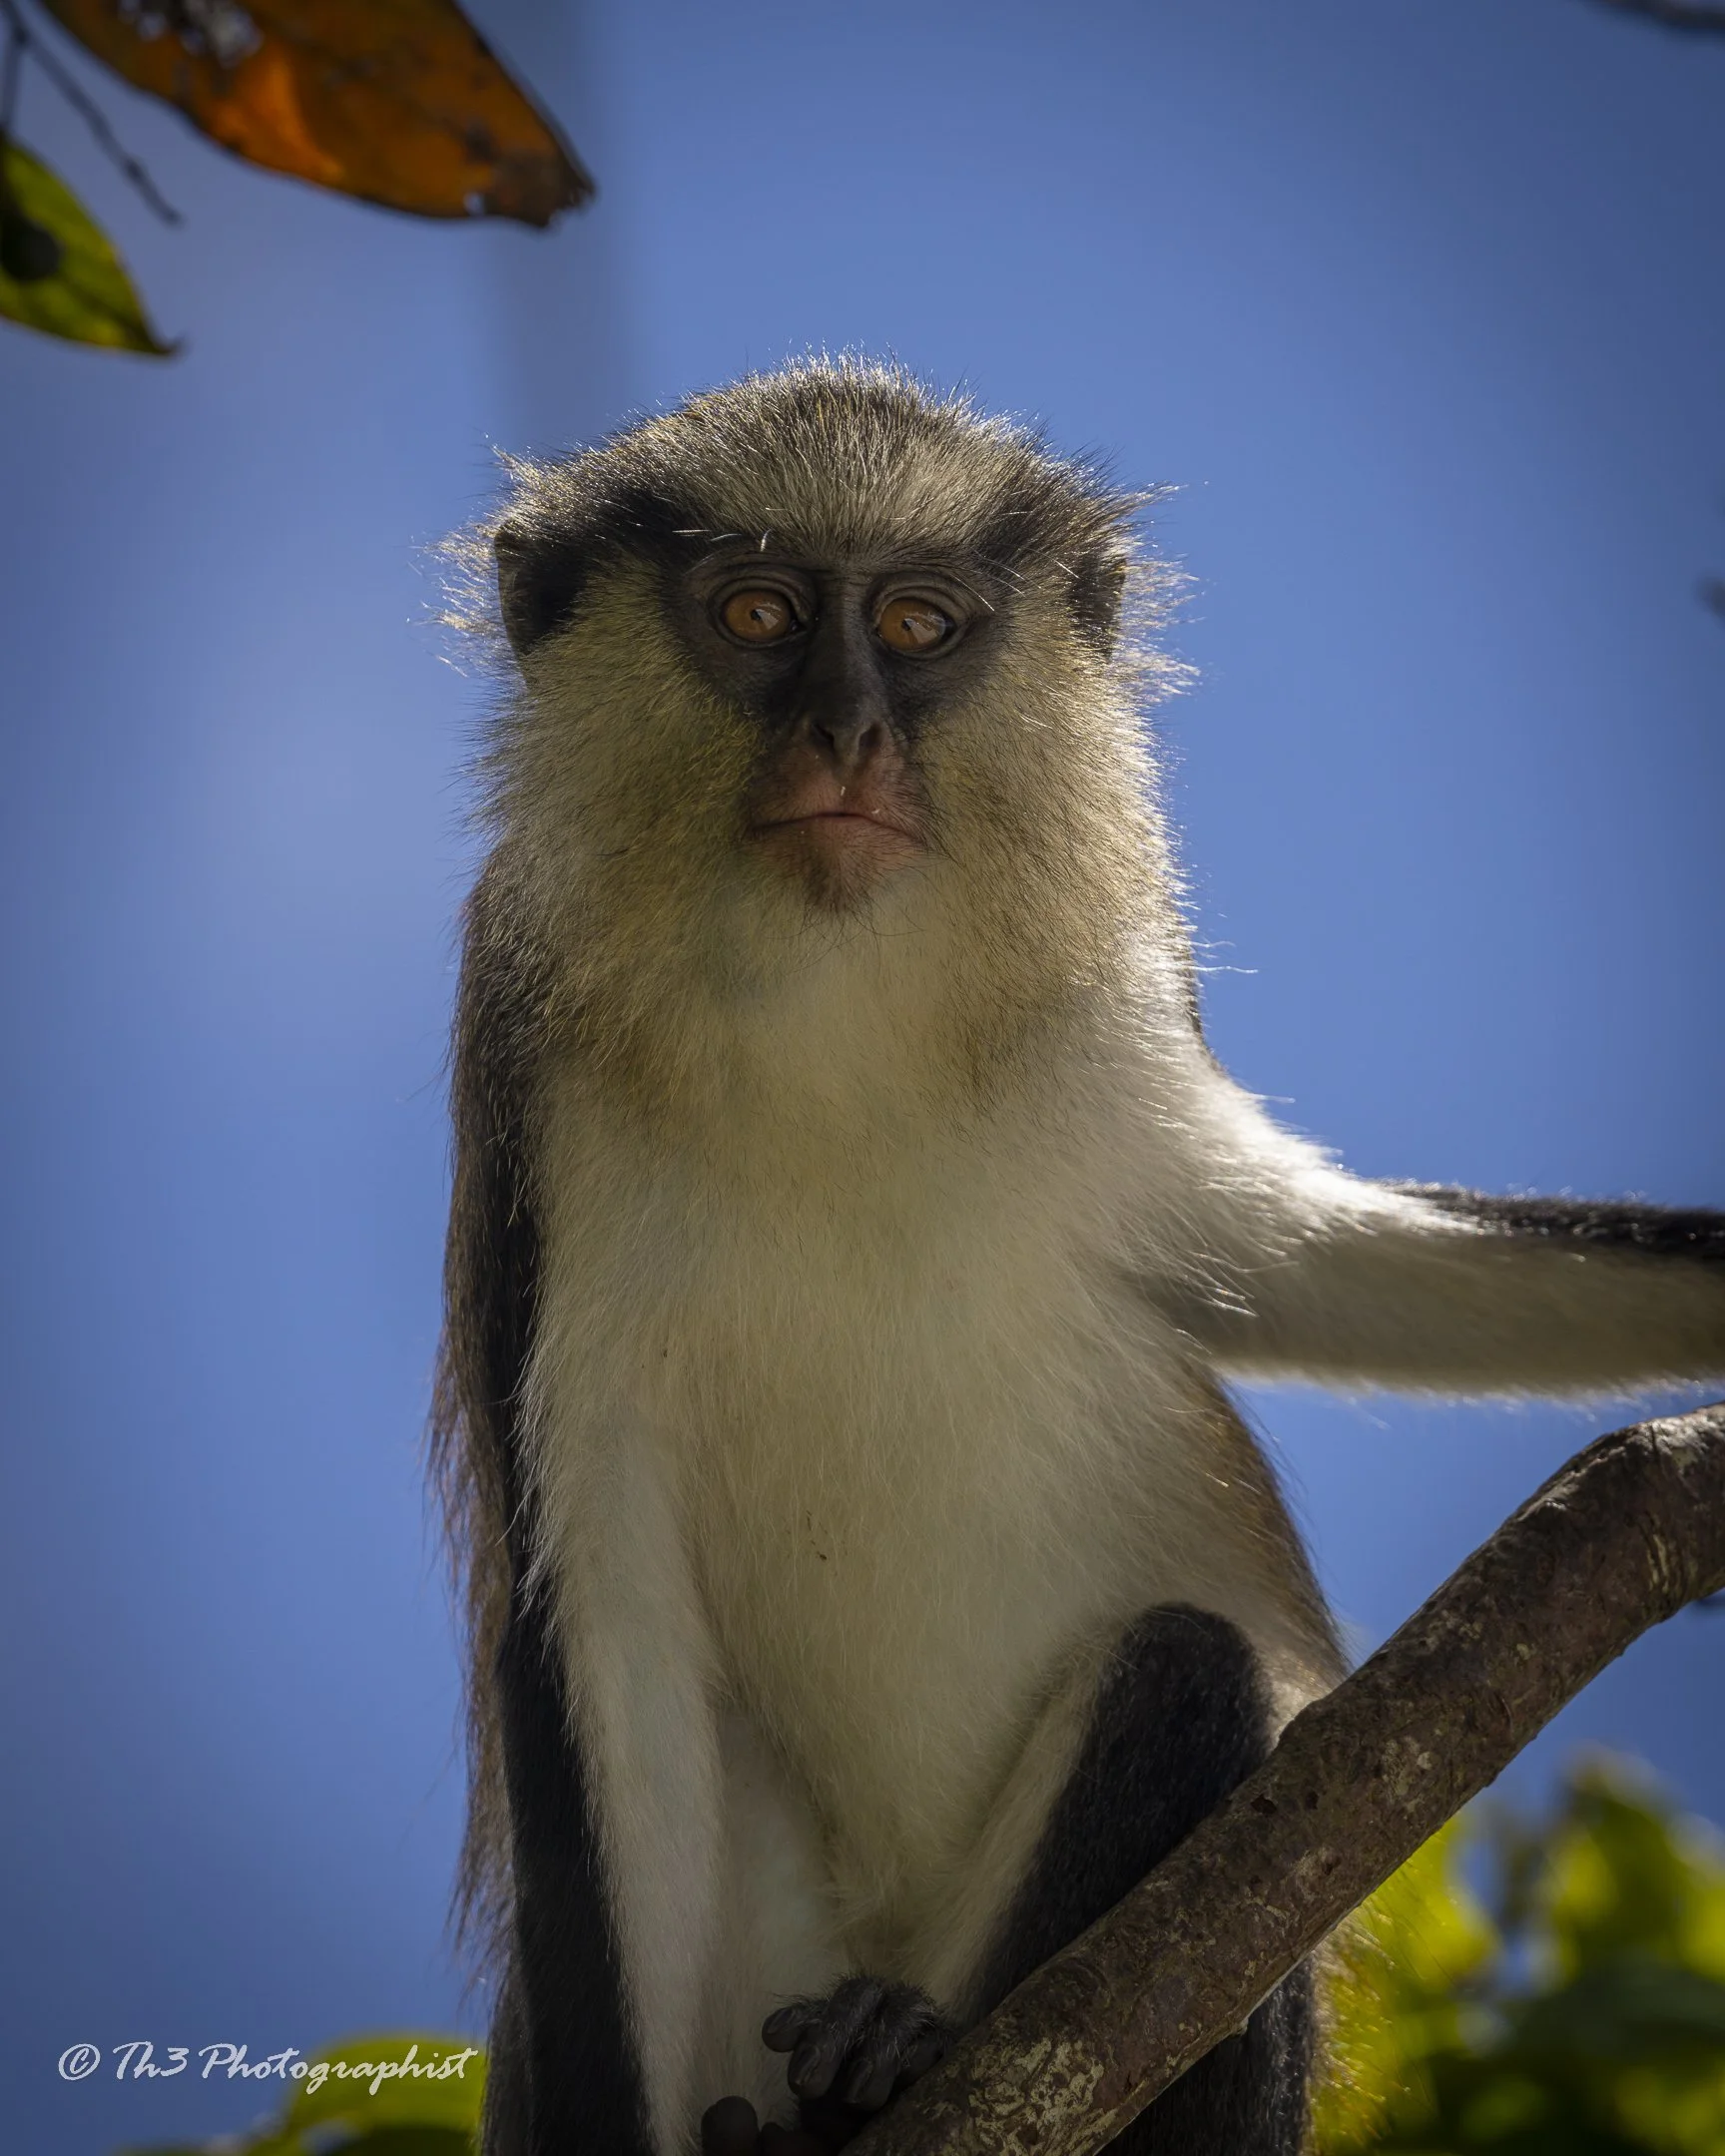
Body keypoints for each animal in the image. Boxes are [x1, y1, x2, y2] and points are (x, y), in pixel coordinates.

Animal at [431, 358, 1725, 2156]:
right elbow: (599, 1637)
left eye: (915, 626)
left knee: (1189, 1669)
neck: (832, 1024)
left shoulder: (1123, 1066)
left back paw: (885, 2049)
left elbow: (1367, 1274)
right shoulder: (529, 1104)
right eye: (759, 613)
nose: (848, 734)